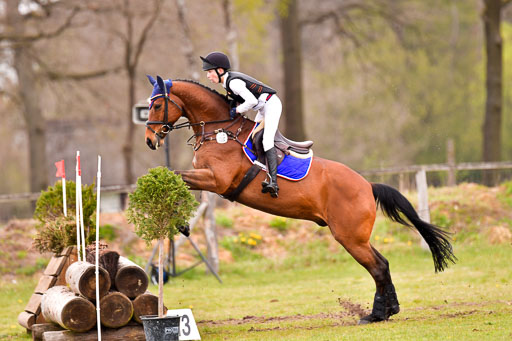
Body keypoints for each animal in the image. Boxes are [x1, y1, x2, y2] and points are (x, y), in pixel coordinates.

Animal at [143, 75, 456, 322]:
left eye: (156, 105)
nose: (150, 140)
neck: (220, 131)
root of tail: (368, 185)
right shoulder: (207, 178)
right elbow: (177, 180)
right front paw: (179, 222)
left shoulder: (217, 180)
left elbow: (175, 176)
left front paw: (180, 222)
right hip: (356, 237)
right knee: (384, 264)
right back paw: (390, 310)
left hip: (350, 237)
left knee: (378, 267)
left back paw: (375, 315)